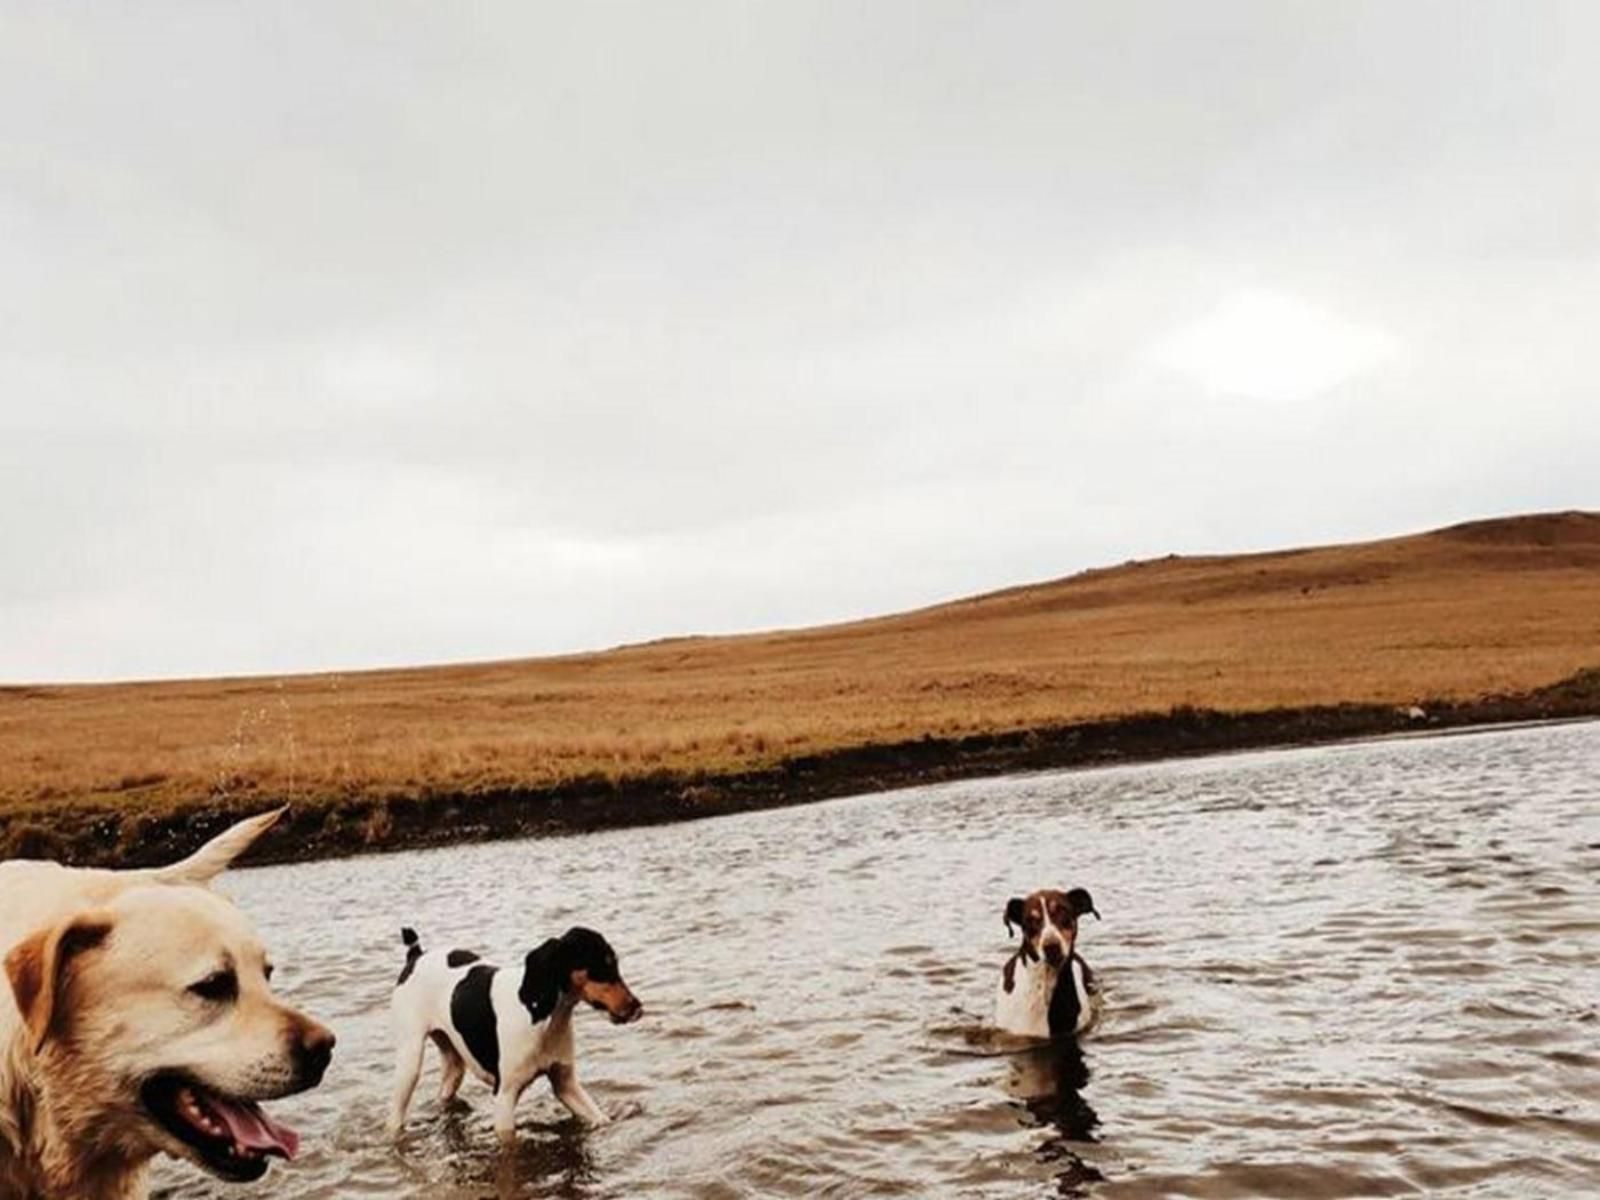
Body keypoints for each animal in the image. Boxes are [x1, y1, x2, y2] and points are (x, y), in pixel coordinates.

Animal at [384, 928, 640, 1145]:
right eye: (602, 965)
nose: (637, 1007)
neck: (539, 1015)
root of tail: (416, 956)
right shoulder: (504, 1097)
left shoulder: (566, 1085)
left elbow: (601, 1118)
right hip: (410, 1064)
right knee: (394, 1117)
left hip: (453, 1068)